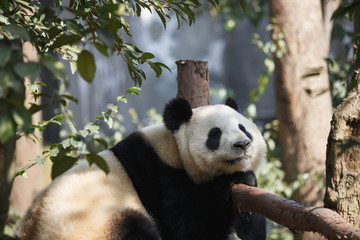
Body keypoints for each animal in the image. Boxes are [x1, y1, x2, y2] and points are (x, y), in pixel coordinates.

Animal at [16, 97, 268, 240]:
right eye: (215, 134)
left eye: (243, 128)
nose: (243, 144)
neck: (173, 145)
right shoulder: (162, 176)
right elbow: (189, 230)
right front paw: (234, 181)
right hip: (93, 224)